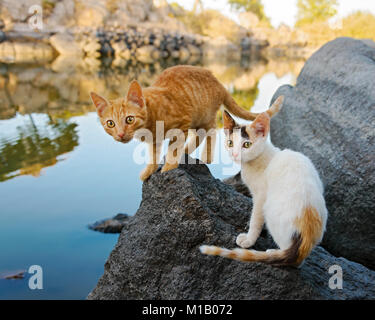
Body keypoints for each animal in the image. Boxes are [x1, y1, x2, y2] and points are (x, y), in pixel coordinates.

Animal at [89, 65, 280, 180]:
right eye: (110, 124)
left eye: (129, 119)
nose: (120, 134)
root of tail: (218, 81)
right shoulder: (155, 140)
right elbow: (153, 154)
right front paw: (149, 171)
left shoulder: (181, 124)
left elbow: (173, 148)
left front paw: (168, 168)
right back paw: (187, 151)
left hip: (204, 115)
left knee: (211, 131)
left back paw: (203, 155)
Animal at [201, 97, 328, 268]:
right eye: (230, 143)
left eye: (247, 144)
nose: (235, 154)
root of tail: (305, 241)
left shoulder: (260, 197)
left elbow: (255, 220)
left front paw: (249, 240)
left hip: (270, 209)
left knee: (292, 260)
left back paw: (274, 252)